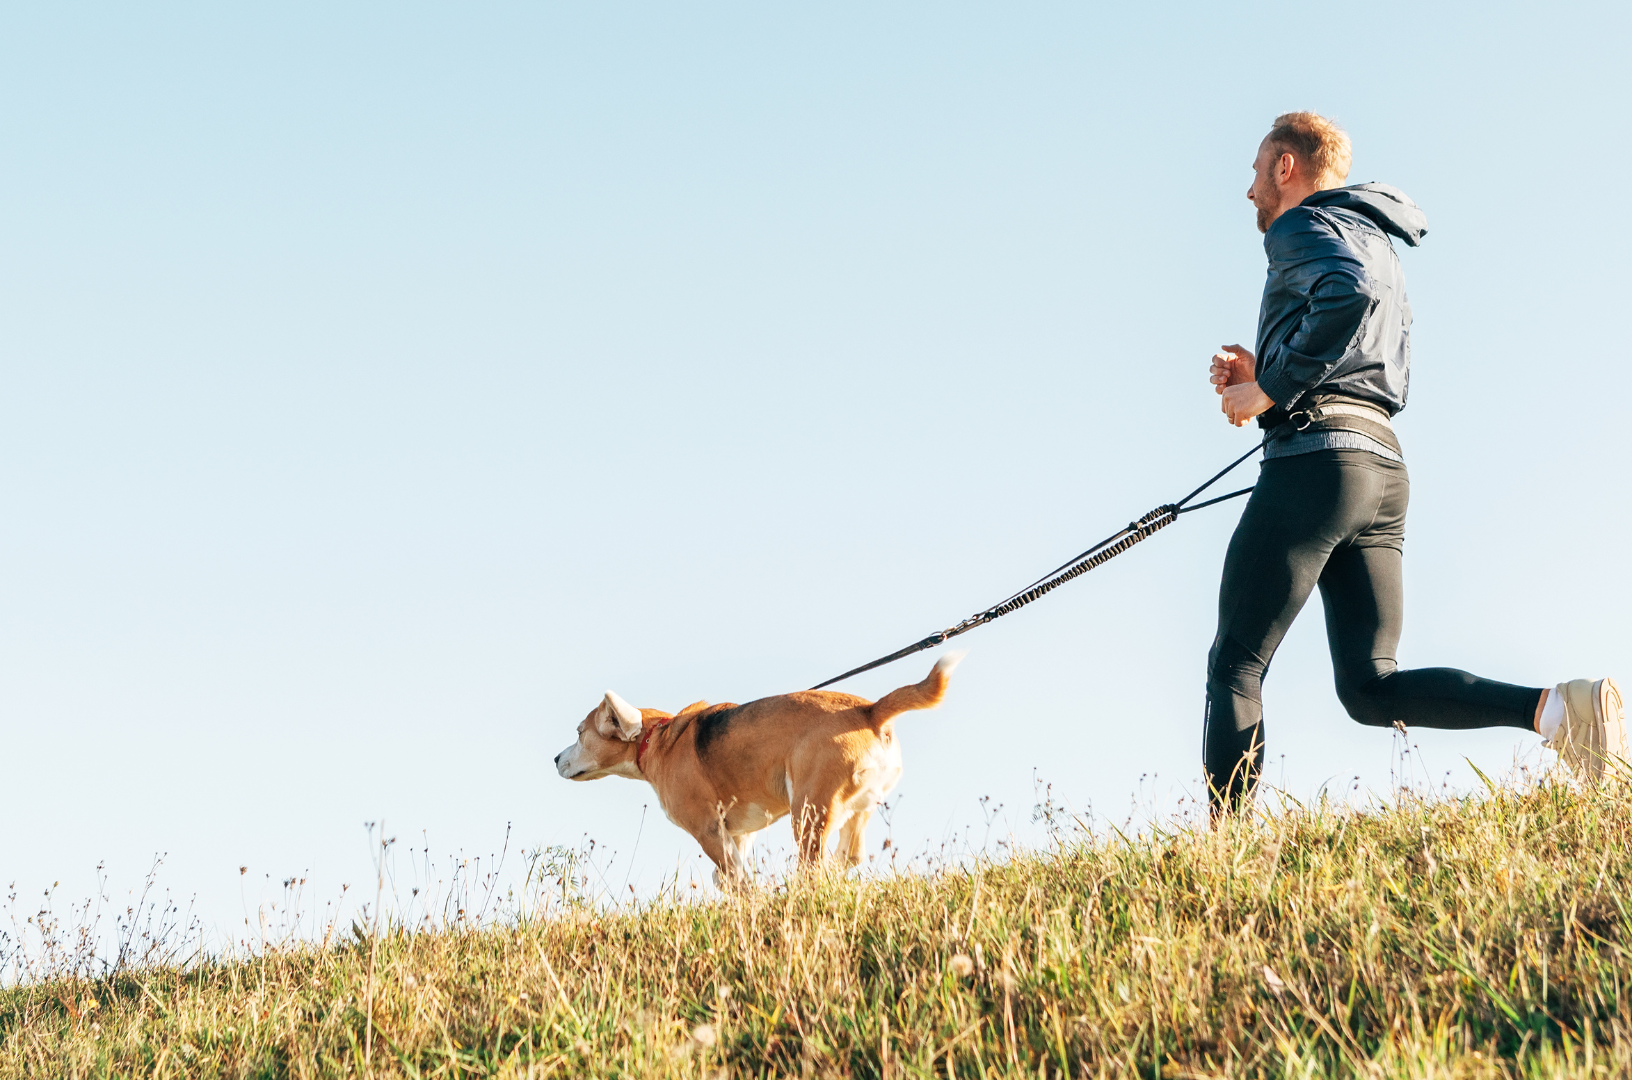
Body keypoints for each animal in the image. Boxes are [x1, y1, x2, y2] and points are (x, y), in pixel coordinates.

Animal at [554, 655, 959, 887]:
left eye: (579, 733)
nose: (555, 759)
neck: (657, 737)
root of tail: (870, 710)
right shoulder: (739, 833)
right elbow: (730, 874)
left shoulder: (708, 830)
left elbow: (735, 878)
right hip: (857, 807)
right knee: (848, 857)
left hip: (808, 812)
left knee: (814, 867)